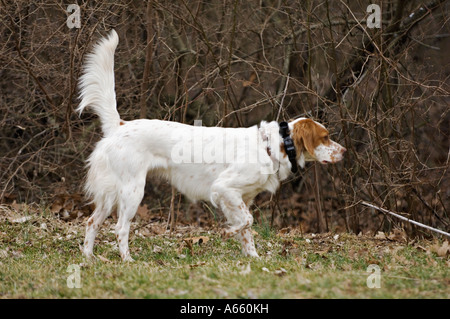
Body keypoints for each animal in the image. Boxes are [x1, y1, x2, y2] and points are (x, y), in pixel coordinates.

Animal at [77, 30, 346, 262]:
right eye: (325, 137)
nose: (344, 152)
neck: (270, 146)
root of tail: (120, 125)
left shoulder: (242, 198)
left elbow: (247, 230)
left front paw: (253, 258)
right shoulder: (224, 188)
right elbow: (247, 221)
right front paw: (227, 233)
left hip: (110, 193)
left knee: (92, 222)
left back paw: (89, 258)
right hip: (132, 191)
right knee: (120, 228)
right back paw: (127, 259)